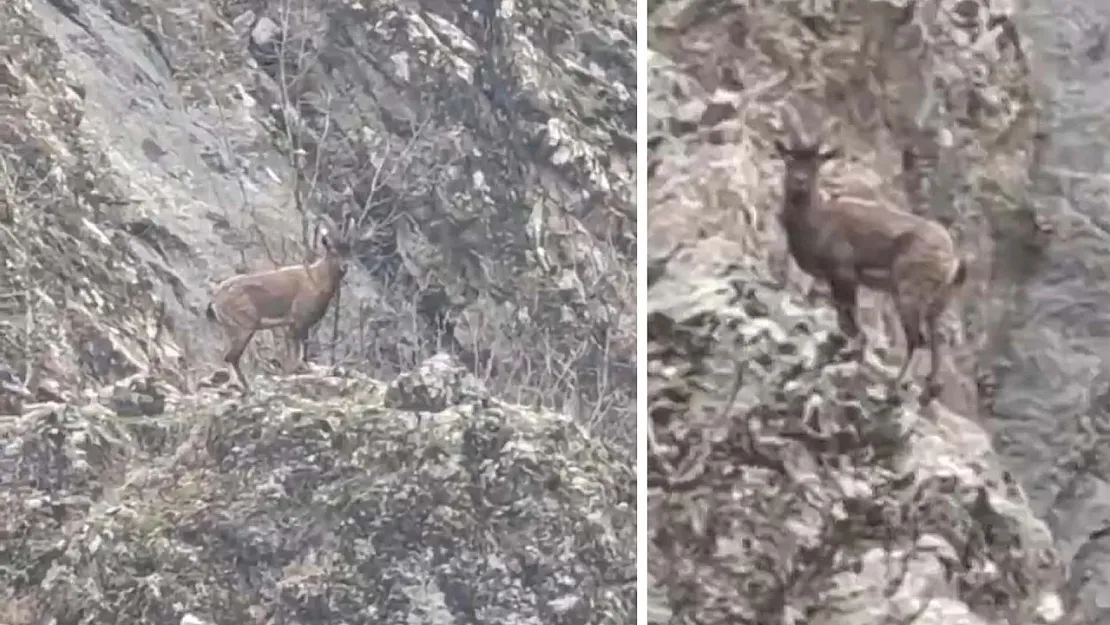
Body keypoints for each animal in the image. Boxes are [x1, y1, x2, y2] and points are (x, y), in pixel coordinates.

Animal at [202, 215, 352, 390]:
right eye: (332, 250)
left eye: (349, 250)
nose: (344, 266)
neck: (315, 279)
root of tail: (215, 300)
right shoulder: (299, 322)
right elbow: (297, 352)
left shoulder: (295, 325)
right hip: (244, 327)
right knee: (231, 357)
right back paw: (242, 386)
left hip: (230, 329)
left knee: (229, 356)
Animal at [777, 136, 967, 401]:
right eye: (789, 159)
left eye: (816, 163)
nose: (799, 181)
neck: (818, 222)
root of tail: (953, 260)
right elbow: (844, 322)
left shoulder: (843, 273)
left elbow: (851, 323)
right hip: (935, 301)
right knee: (936, 338)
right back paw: (928, 391)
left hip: (909, 291)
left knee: (917, 339)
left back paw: (895, 387)